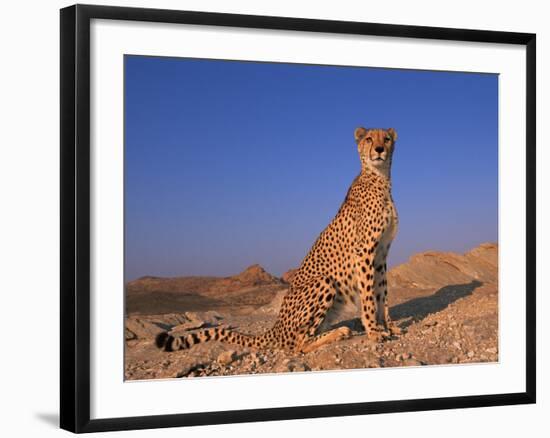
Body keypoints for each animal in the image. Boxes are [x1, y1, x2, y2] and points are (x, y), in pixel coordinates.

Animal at [155, 126, 402, 352]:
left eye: (386, 139)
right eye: (369, 139)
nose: (379, 149)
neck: (380, 179)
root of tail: (275, 327)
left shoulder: (381, 254)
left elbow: (382, 294)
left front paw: (388, 326)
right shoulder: (365, 252)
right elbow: (369, 296)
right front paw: (374, 331)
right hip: (324, 282)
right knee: (298, 345)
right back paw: (339, 332)